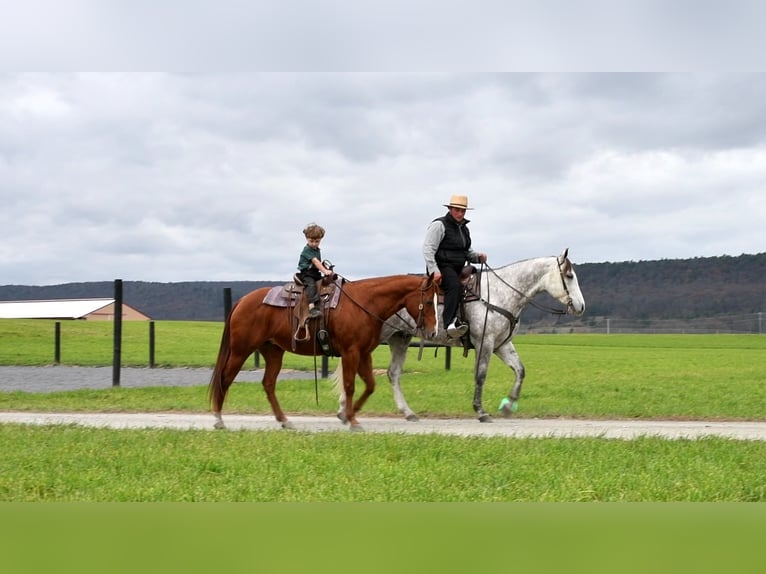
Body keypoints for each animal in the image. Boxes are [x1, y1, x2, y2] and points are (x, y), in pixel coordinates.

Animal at [208, 274, 438, 432]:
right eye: (429, 301)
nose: (433, 331)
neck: (365, 303)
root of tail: (242, 301)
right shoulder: (351, 352)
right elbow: (349, 385)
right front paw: (351, 419)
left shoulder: (364, 353)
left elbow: (370, 385)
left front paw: (347, 415)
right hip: (240, 351)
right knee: (225, 378)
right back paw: (219, 419)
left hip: (273, 352)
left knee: (268, 384)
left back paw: (284, 421)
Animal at [336, 249, 588, 424]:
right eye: (569, 275)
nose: (581, 307)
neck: (500, 293)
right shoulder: (485, 343)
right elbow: (481, 376)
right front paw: (481, 411)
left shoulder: (502, 345)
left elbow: (520, 371)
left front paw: (508, 406)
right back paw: (344, 410)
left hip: (400, 338)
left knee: (393, 373)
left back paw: (406, 413)